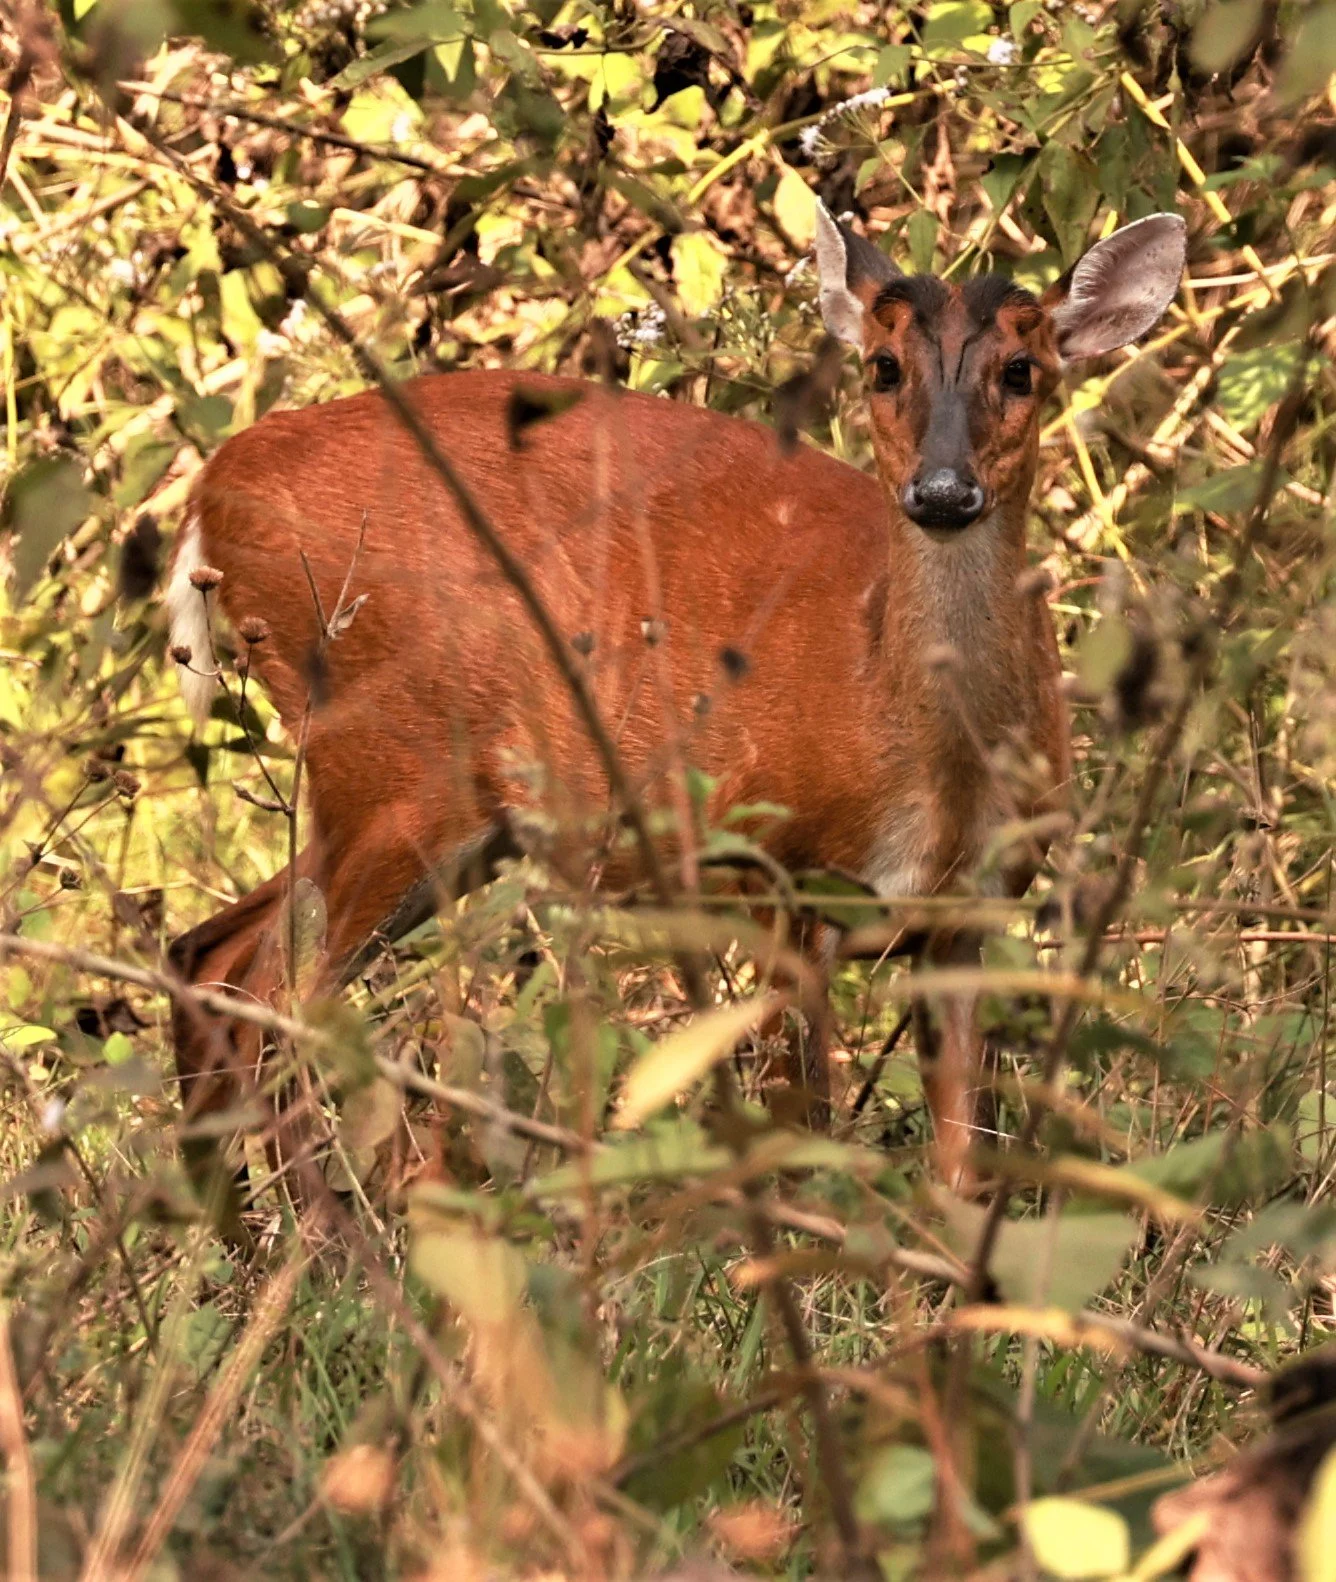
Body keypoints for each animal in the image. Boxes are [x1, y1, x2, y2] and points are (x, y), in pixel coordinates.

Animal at [164, 202, 1185, 1199]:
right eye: (884, 366)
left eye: (1022, 370)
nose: (940, 491)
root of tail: (213, 490)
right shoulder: (768, 864)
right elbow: (800, 1137)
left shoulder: (969, 913)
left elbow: (962, 1162)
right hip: (390, 755)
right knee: (275, 998)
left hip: (422, 800)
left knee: (210, 956)